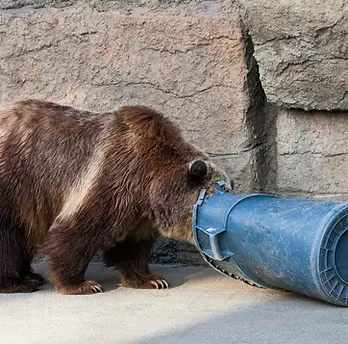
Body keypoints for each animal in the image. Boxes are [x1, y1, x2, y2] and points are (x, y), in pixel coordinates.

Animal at [0, 99, 231, 292]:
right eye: (217, 193)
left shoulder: (138, 211)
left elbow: (132, 246)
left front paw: (151, 279)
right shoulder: (111, 177)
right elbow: (77, 233)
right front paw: (81, 284)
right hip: (14, 181)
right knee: (10, 234)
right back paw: (19, 282)